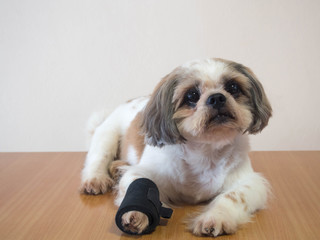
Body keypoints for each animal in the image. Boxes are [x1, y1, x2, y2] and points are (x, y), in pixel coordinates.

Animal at [80, 57, 272, 236]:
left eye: (233, 87)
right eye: (191, 95)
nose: (217, 97)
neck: (205, 151)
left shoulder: (249, 181)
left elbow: (233, 196)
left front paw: (216, 217)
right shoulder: (143, 172)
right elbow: (139, 184)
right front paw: (138, 213)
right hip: (107, 135)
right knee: (98, 159)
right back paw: (96, 179)